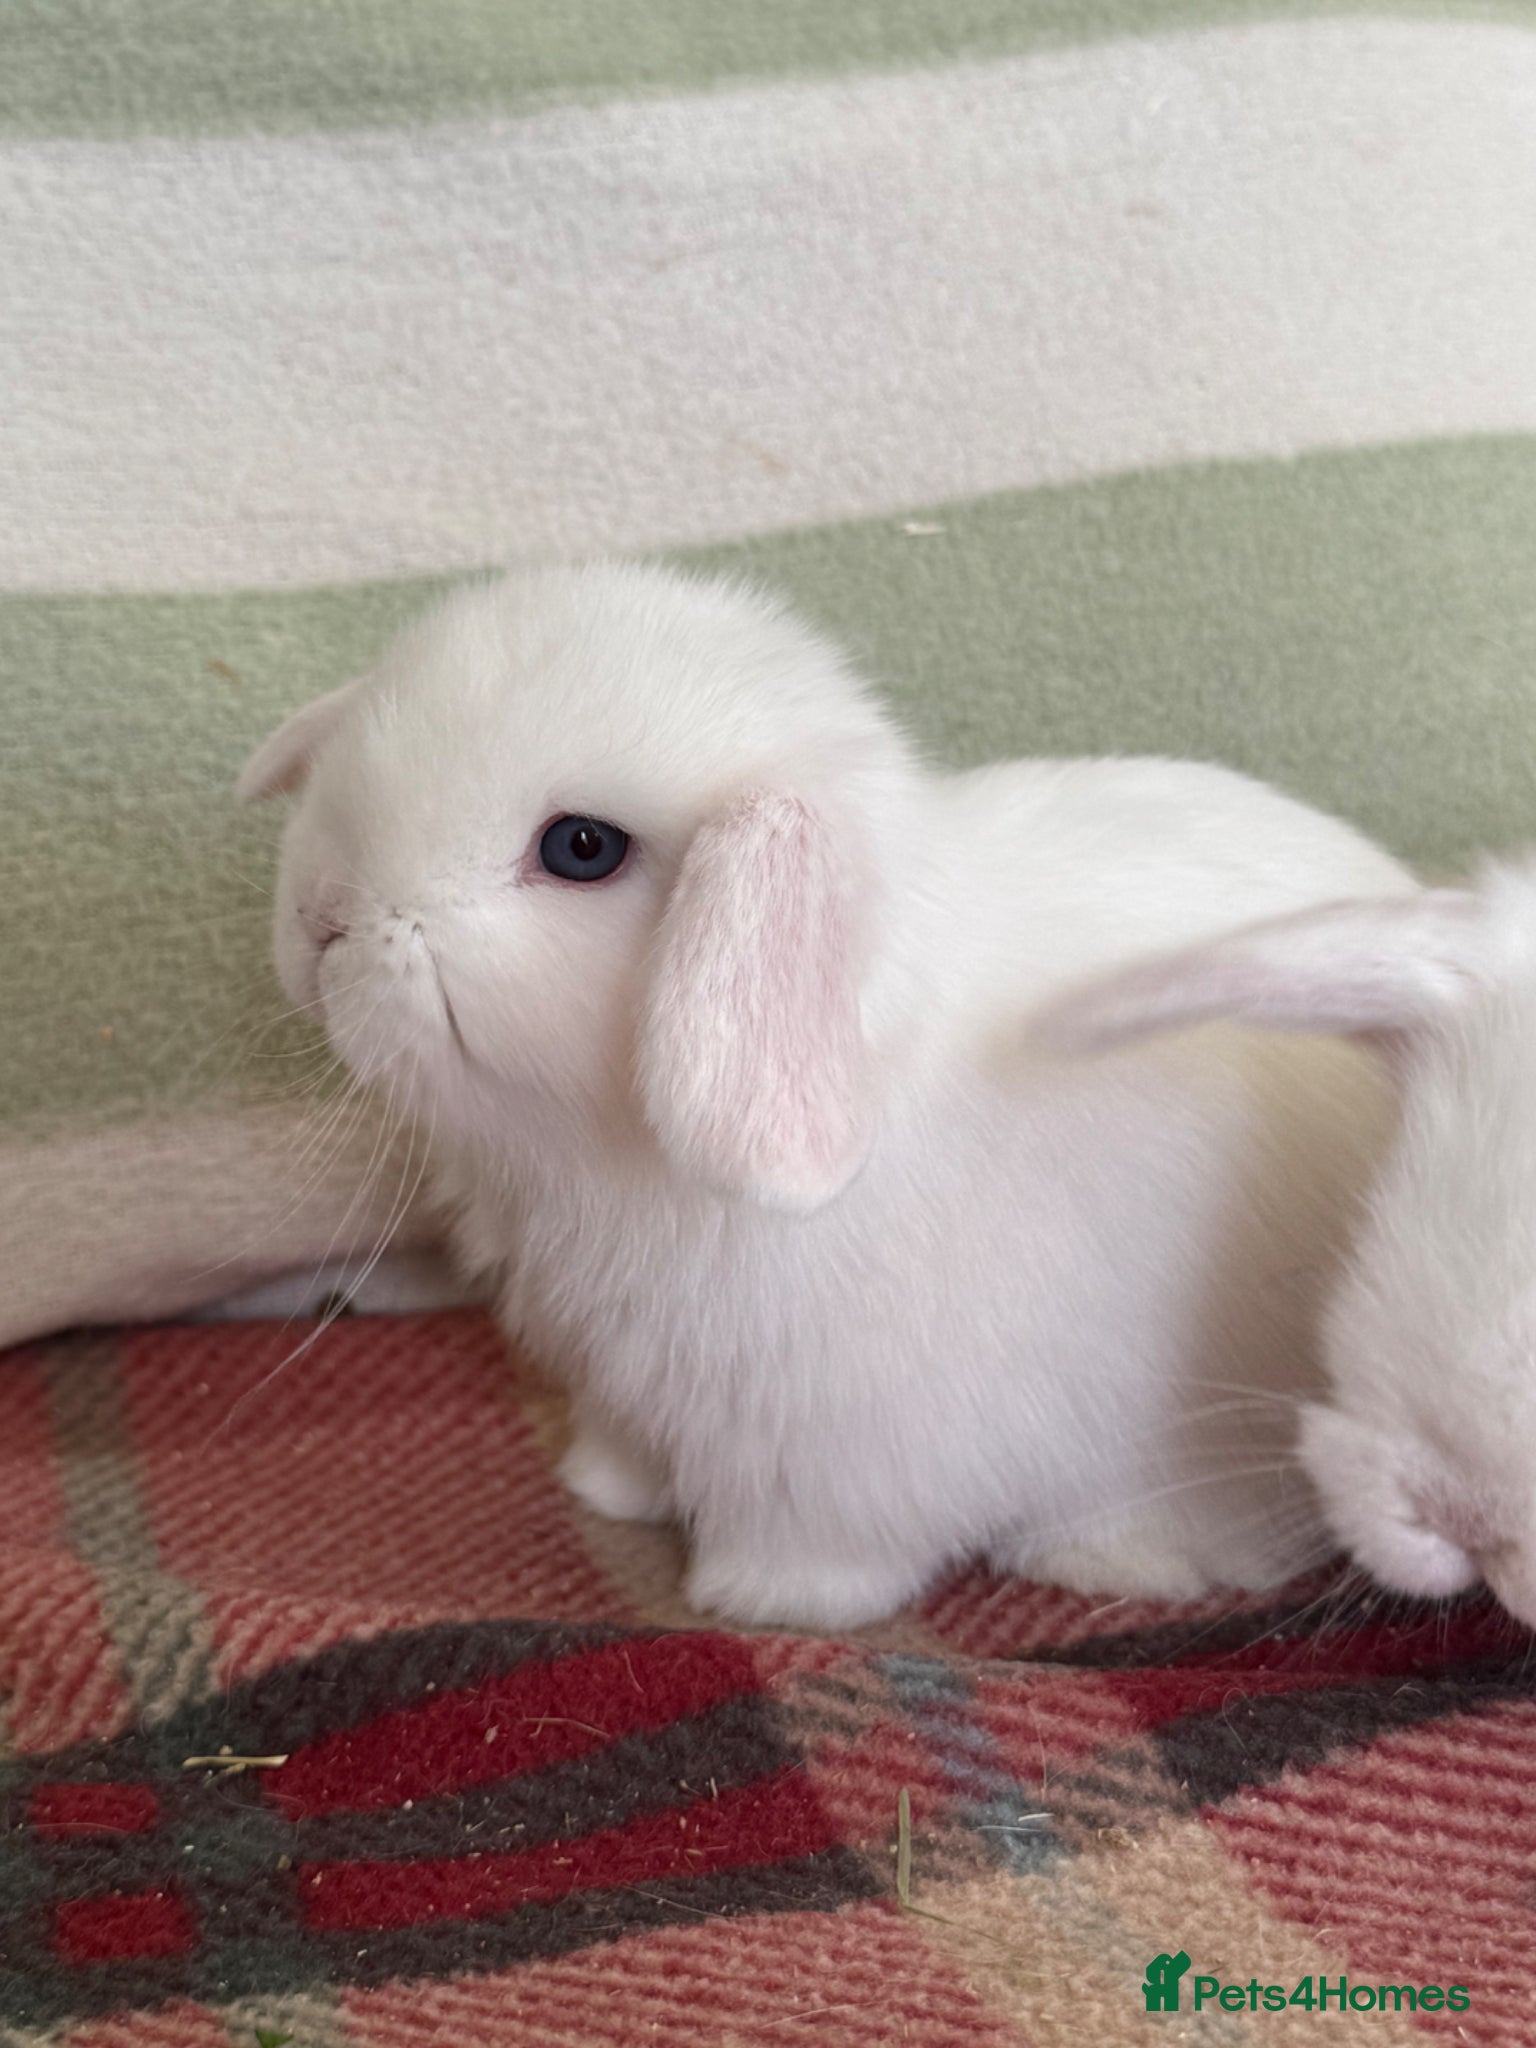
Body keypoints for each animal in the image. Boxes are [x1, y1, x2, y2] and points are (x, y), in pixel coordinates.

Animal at [237, 560, 1418, 1629]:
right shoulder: (635, 1390)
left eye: (580, 847)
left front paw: (756, 1598)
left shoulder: (845, 1457)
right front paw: (603, 1490)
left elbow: (826, 1549)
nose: (320, 915)